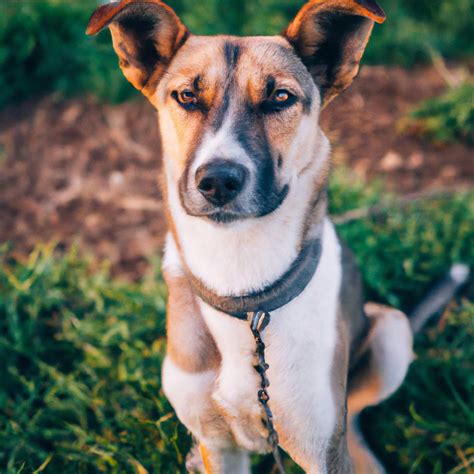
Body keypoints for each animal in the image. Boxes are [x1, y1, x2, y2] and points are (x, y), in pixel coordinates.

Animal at [88, 1, 414, 472]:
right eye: (186, 96)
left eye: (280, 97)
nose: (218, 180)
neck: (243, 291)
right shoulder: (218, 444)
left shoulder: (320, 448)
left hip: (392, 330)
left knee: (354, 416)